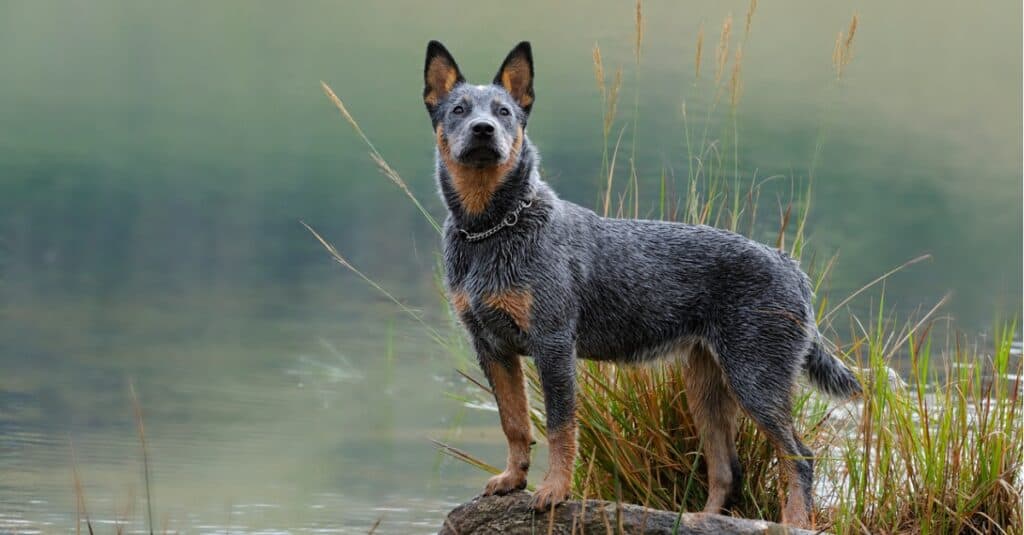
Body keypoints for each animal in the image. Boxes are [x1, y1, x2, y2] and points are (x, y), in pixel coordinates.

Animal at [423, 40, 864, 524]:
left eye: (503, 112)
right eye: (459, 109)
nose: (483, 130)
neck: (492, 230)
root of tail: (792, 267)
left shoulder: (553, 344)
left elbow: (560, 426)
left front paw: (554, 490)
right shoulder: (492, 347)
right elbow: (514, 422)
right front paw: (513, 480)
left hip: (755, 379)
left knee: (798, 456)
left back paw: (794, 523)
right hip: (706, 386)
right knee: (727, 469)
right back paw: (699, 519)